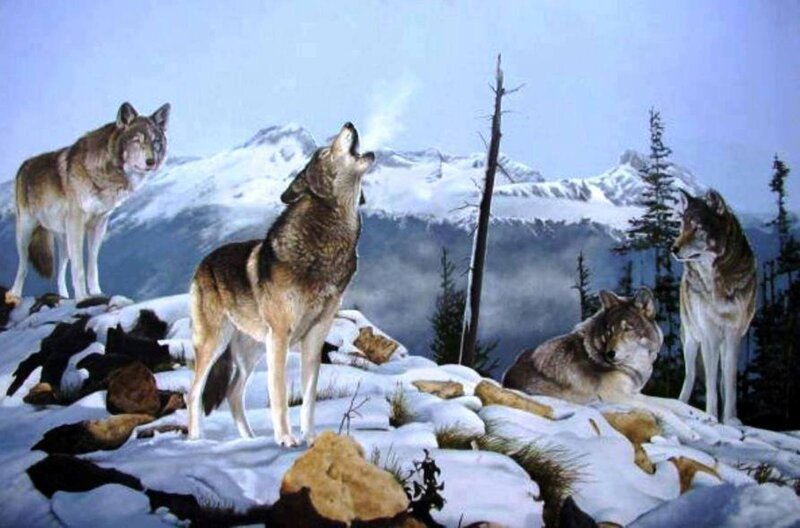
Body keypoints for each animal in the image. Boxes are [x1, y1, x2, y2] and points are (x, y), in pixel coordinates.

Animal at [6, 102, 170, 303]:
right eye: (137, 140)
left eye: (155, 141)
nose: (151, 162)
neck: (106, 175)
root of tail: (24, 165)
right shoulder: (77, 223)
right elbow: (79, 268)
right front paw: (83, 298)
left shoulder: (99, 224)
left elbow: (92, 265)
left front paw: (96, 293)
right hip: (25, 232)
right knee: (22, 266)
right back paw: (14, 294)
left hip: (63, 241)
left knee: (59, 273)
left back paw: (63, 297)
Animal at [187, 122, 374, 447]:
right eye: (325, 152)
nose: (349, 124)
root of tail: (203, 262)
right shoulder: (281, 337)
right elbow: (280, 393)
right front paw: (286, 438)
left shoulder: (314, 337)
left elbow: (309, 399)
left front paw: (310, 438)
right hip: (216, 343)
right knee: (194, 392)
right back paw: (196, 440)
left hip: (252, 352)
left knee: (233, 394)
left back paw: (249, 439)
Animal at [503, 288, 698, 439]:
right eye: (610, 331)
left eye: (627, 329)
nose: (610, 354)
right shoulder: (614, 396)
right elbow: (663, 409)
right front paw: (690, 432)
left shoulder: (633, 393)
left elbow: (671, 402)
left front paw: (695, 413)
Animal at [672, 189, 756, 424]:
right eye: (682, 226)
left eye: (697, 228)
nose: (673, 249)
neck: (717, 281)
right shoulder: (709, 334)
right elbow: (709, 383)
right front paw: (711, 416)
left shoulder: (733, 334)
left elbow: (729, 381)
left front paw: (730, 419)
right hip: (691, 340)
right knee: (690, 375)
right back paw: (681, 405)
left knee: (722, 377)